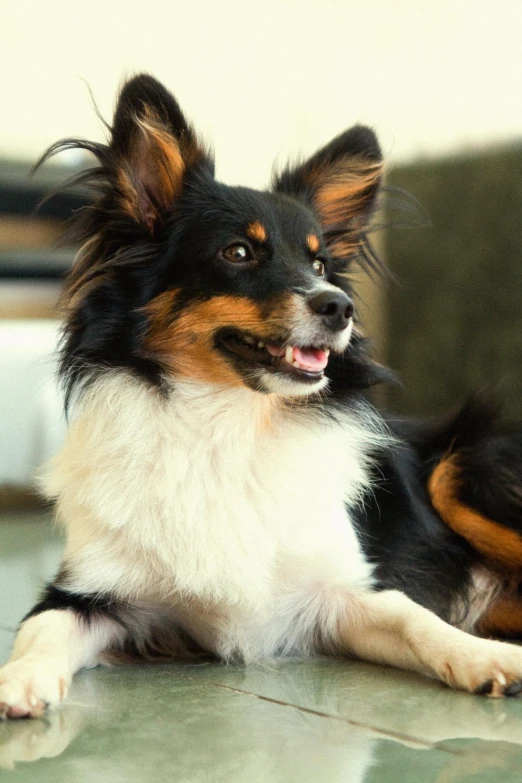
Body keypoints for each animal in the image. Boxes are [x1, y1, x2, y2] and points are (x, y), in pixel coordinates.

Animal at [1, 76, 520, 720]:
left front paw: (485, 657)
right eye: (239, 253)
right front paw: (20, 678)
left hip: (463, 467)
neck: (227, 422)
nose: (340, 307)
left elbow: (415, 619)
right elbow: (40, 630)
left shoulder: (345, 593)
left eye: (319, 262)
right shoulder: (89, 592)